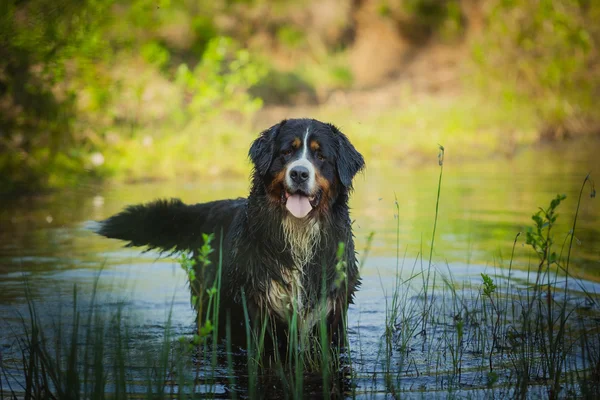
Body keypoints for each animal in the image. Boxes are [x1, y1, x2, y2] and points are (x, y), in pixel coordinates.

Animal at [97, 118, 366, 346]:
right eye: (287, 152)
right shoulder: (258, 310)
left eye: (320, 156)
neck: (298, 233)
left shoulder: (331, 314)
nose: (299, 173)